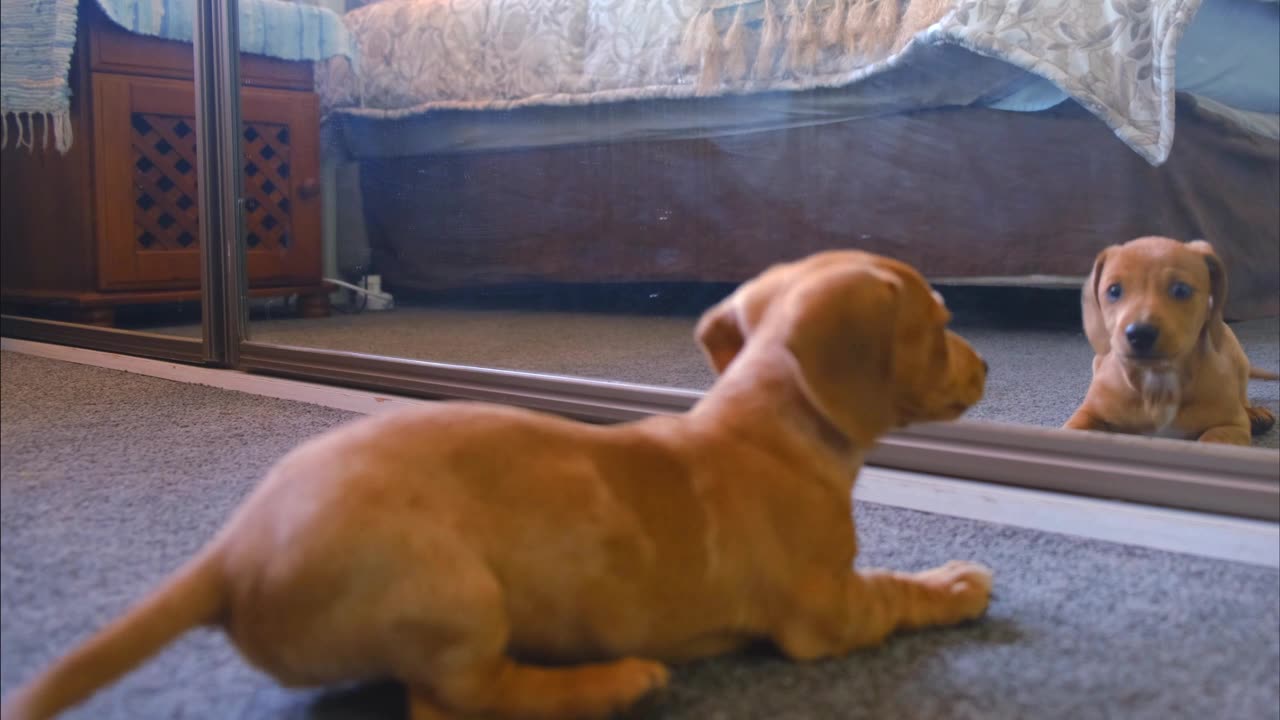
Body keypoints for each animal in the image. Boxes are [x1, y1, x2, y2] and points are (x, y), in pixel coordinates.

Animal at [2, 248, 988, 717]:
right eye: (942, 322)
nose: (985, 370)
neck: (765, 424)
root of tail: (232, 552)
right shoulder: (827, 613)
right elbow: (895, 593)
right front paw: (954, 583)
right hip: (459, 599)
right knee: (457, 703)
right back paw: (611, 684)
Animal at [1064, 235, 1274, 443]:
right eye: (1114, 290)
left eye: (1181, 290)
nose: (1140, 334)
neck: (1158, 384)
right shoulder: (1086, 415)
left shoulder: (1231, 426)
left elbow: (1212, 439)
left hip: (1238, 360)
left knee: (1242, 397)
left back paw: (1254, 413)